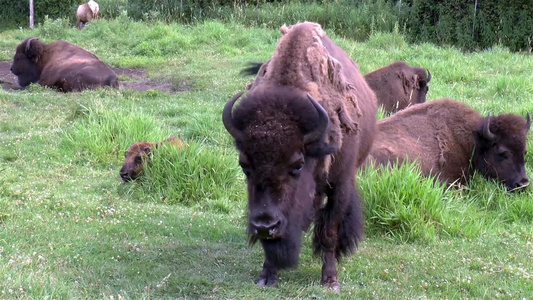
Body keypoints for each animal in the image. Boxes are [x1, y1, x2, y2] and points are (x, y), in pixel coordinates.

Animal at [222, 21, 376, 290]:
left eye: (297, 164)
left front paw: (330, 279)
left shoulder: (340, 184)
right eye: (244, 165)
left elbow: (329, 230)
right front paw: (267, 275)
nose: (265, 225)